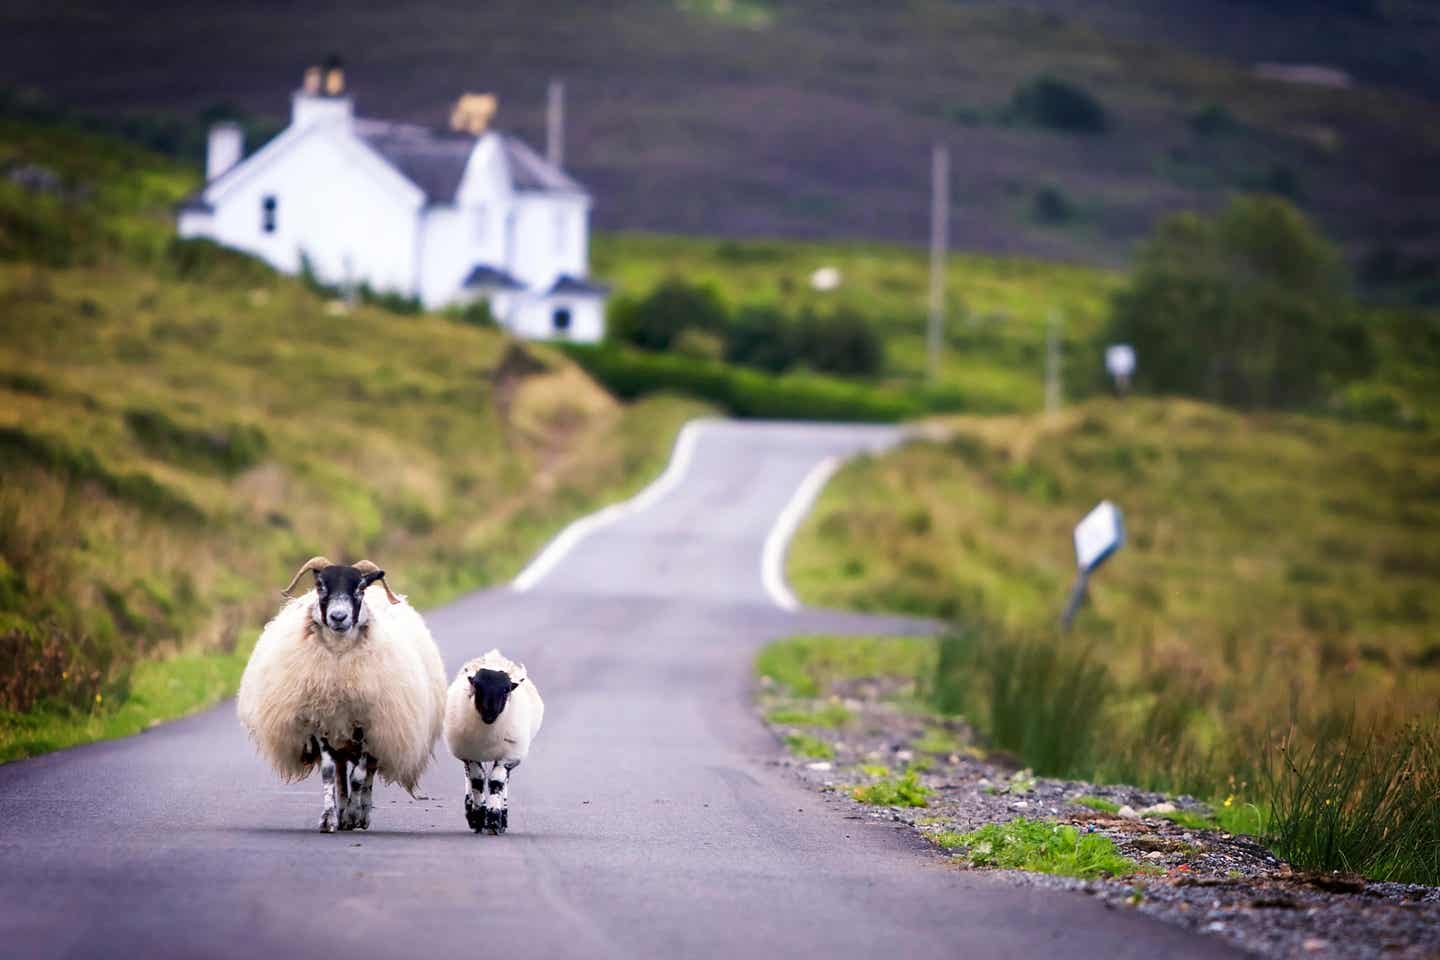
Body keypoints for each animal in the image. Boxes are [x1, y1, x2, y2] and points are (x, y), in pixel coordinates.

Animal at [236, 555, 443, 834]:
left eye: (360, 588)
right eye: (320, 585)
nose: (338, 617)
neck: (338, 661)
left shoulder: (368, 723)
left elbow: (359, 776)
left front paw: (355, 814)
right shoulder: (321, 720)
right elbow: (329, 772)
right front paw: (329, 819)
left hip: (381, 729)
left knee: (366, 773)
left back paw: (360, 814)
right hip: (341, 735)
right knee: (341, 773)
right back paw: (343, 812)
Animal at [440, 650, 541, 834]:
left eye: (506, 690)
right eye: (477, 686)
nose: (489, 712)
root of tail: (494, 656)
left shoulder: (507, 756)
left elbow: (496, 782)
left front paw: (494, 819)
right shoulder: (470, 755)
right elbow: (477, 780)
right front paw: (479, 817)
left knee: (504, 781)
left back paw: (503, 818)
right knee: (469, 776)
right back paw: (471, 812)